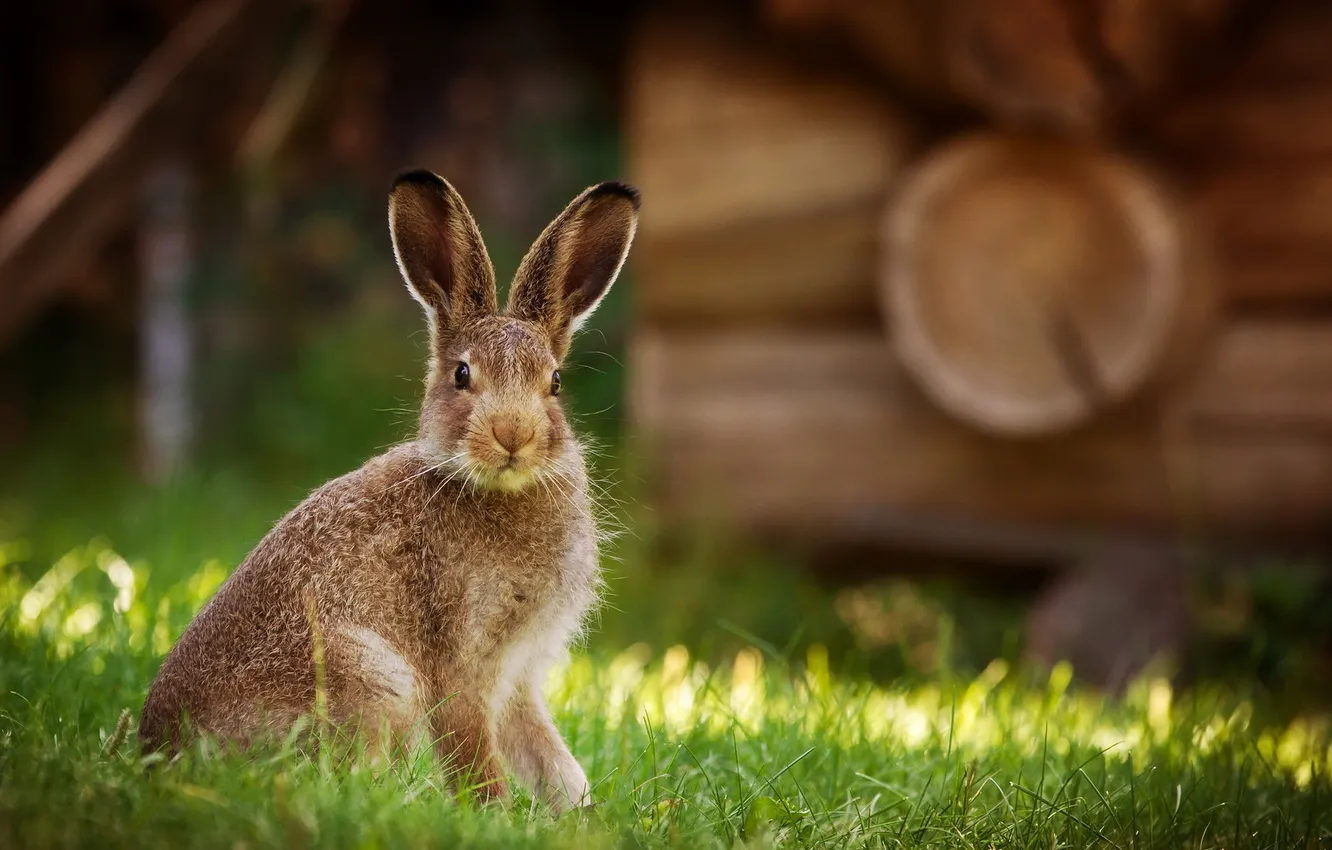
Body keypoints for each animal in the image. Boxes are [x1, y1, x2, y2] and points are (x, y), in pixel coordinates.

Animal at [138, 171, 640, 814]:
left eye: (553, 383)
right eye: (462, 375)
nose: (513, 435)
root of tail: (159, 753)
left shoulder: (518, 675)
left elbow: (547, 755)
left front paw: (577, 813)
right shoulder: (460, 663)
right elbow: (473, 751)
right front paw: (492, 814)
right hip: (374, 679)